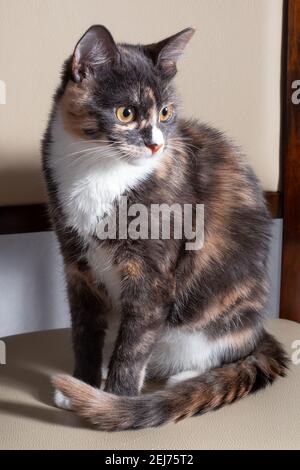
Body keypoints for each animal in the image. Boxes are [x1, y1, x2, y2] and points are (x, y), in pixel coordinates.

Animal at [42, 24, 288, 430]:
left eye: (166, 111)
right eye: (125, 112)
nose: (157, 145)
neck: (99, 169)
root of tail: (259, 331)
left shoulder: (152, 274)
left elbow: (134, 344)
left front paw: (116, 400)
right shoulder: (76, 263)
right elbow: (84, 330)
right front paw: (85, 382)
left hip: (221, 314)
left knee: (223, 350)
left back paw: (185, 378)